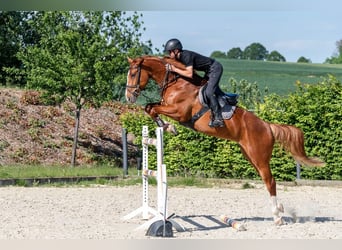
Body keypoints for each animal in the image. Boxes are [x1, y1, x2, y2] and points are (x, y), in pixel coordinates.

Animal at [125, 55, 324, 225]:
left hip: (259, 157)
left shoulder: (179, 112)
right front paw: (166, 126)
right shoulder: (167, 107)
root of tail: (267, 126)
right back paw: (280, 209)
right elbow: (149, 107)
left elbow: (152, 108)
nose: (129, 97)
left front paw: (169, 126)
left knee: (270, 181)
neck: (177, 82)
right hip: (250, 156)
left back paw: (277, 217)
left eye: (134, 73)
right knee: (267, 179)